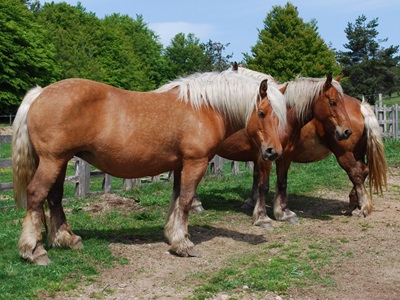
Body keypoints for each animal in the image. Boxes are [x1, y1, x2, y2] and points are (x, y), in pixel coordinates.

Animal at [11, 71, 288, 264]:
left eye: (280, 115)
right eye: (262, 113)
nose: (272, 152)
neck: (204, 107)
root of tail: (40, 93)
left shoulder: (180, 165)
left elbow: (176, 199)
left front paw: (173, 235)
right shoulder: (195, 163)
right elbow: (186, 200)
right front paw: (183, 245)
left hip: (59, 161)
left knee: (55, 198)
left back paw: (66, 239)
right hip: (53, 160)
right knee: (37, 195)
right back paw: (34, 250)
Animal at [214, 67, 386, 227]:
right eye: (333, 102)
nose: (346, 131)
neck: (282, 118)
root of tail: (361, 106)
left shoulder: (271, 157)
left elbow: (268, 184)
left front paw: (265, 215)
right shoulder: (273, 157)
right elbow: (274, 183)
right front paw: (278, 212)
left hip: (344, 153)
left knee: (356, 173)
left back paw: (361, 208)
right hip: (356, 153)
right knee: (362, 171)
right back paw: (356, 203)